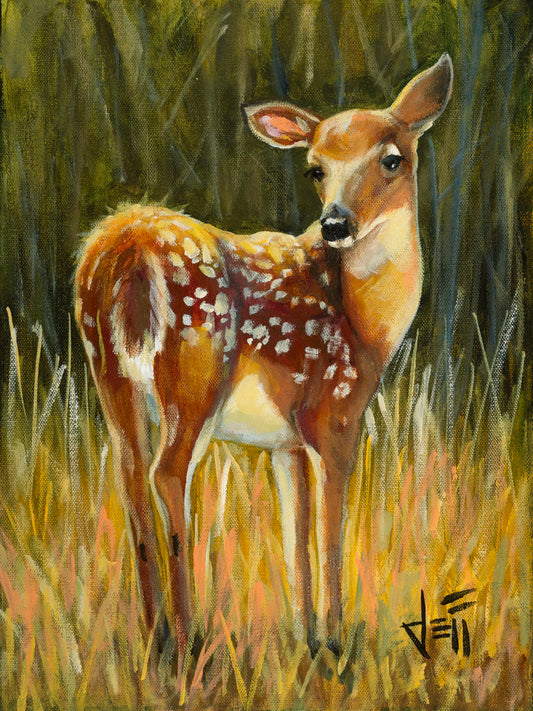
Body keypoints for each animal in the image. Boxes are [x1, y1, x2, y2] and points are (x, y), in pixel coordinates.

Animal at [75, 54, 453, 656]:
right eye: (315, 169)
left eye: (392, 159)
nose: (336, 223)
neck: (367, 324)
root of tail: (123, 248)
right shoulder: (334, 413)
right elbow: (329, 532)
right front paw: (335, 639)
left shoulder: (286, 441)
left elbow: (296, 537)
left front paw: (306, 639)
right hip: (194, 374)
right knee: (167, 474)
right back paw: (187, 637)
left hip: (111, 377)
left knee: (129, 478)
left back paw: (155, 636)